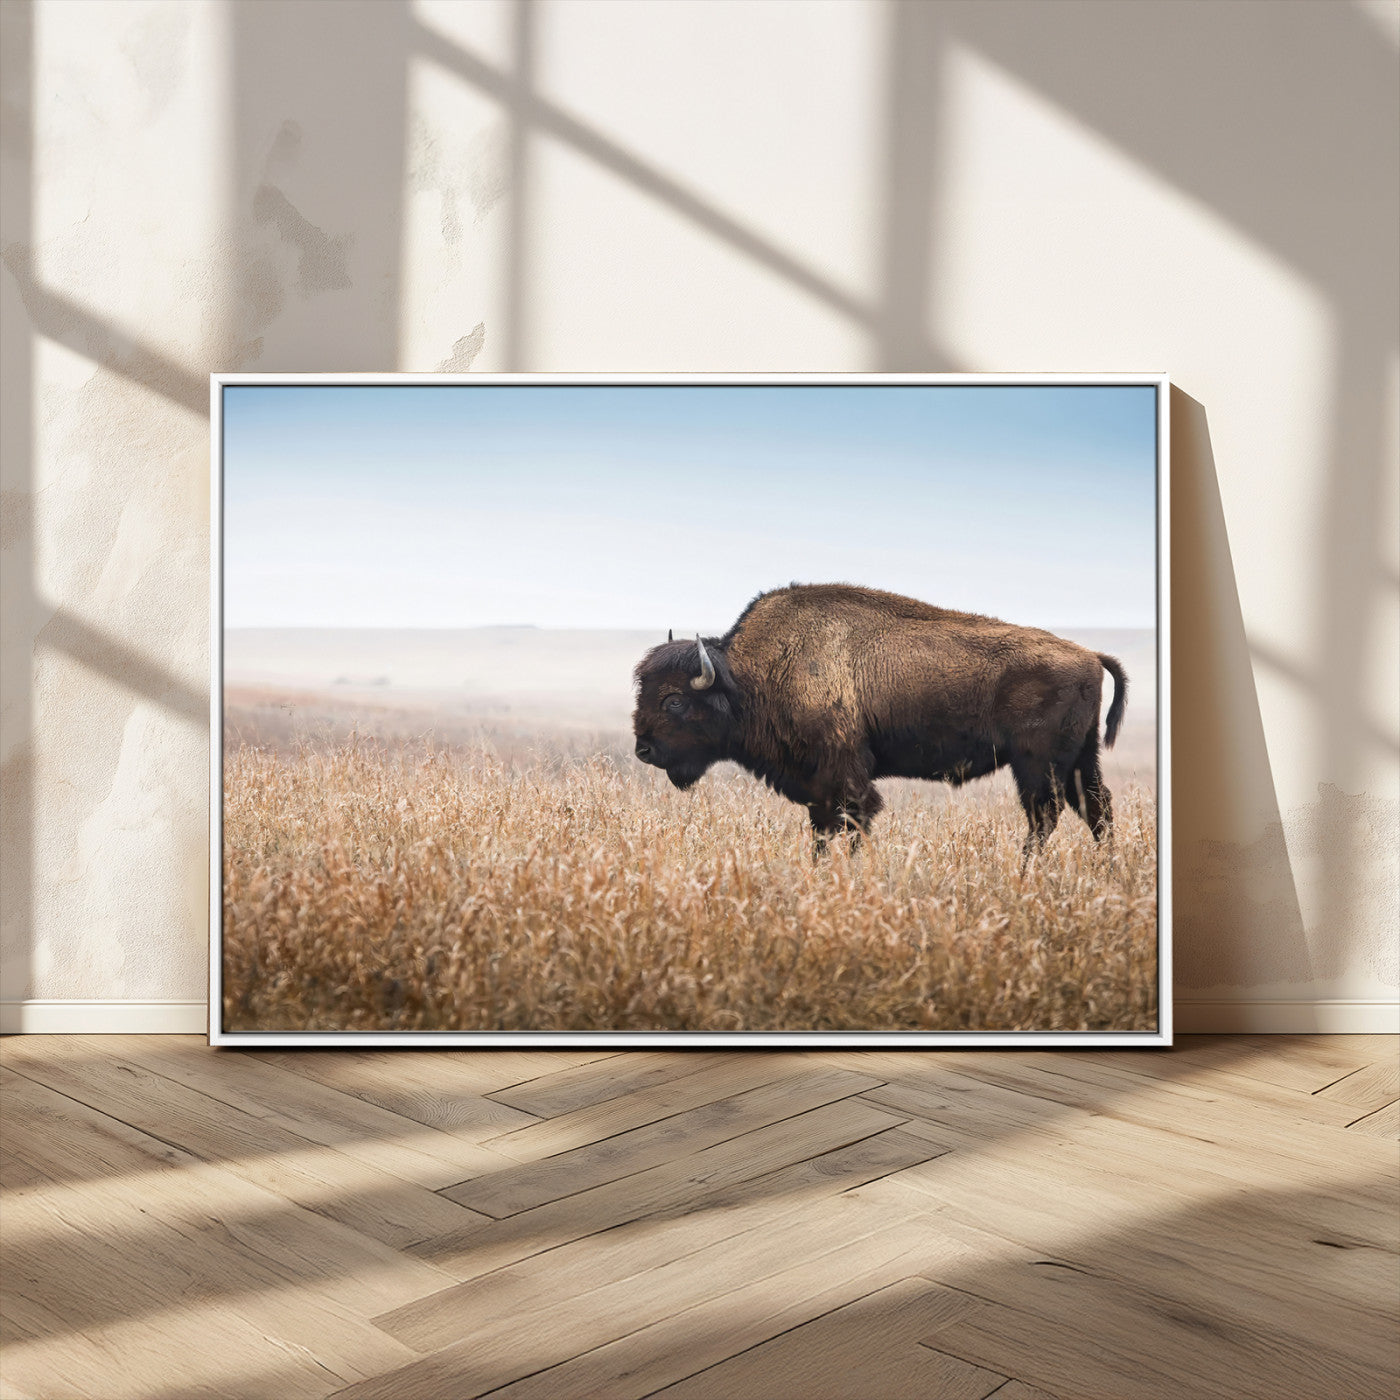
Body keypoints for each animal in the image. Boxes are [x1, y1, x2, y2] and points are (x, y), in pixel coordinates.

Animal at [632, 583, 1128, 859]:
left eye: (674, 701)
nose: (643, 750)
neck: (749, 675)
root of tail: (1089, 655)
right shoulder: (817, 786)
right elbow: (822, 830)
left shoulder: (844, 776)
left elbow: (853, 821)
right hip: (1080, 760)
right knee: (1096, 810)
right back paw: (1106, 871)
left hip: (1037, 764)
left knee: (1045, 816)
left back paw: (1026, 872)